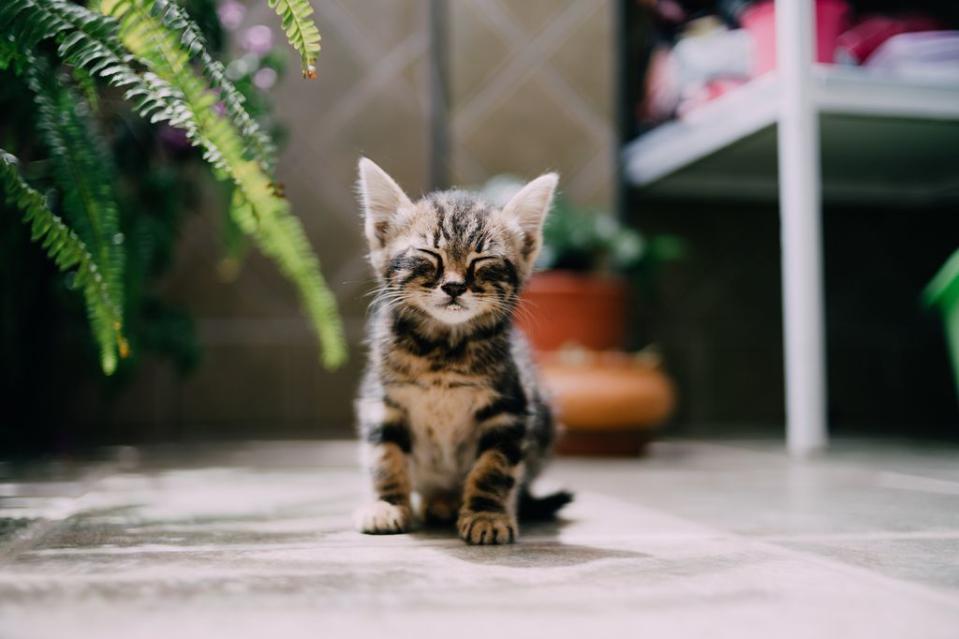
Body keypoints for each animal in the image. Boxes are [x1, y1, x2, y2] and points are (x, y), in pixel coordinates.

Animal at [356, 156, 572, 544]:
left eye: (482, 261)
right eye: (429, 254)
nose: (455, 286)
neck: (442, 350)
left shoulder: (509, 406)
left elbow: (494, 466)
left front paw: (487, 515)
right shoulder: (382, 399)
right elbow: (384, 456)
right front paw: (387, 504)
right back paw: (438, 501)